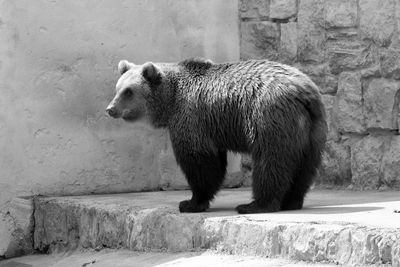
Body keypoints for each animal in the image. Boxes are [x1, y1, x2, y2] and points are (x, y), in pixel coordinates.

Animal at [106, 58, 328, 216]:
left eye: (128, 91)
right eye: (117, 88)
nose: (110, 109)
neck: (170, 101)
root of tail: (302, 93)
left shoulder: (192, 119)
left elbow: (200, 162)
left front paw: (190, 202)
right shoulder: (211, 126)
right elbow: (214, 161)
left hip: (268, 117)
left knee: (271, 162)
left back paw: (255, 204)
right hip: (312, 131)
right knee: (305, 166)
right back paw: (291, 200)